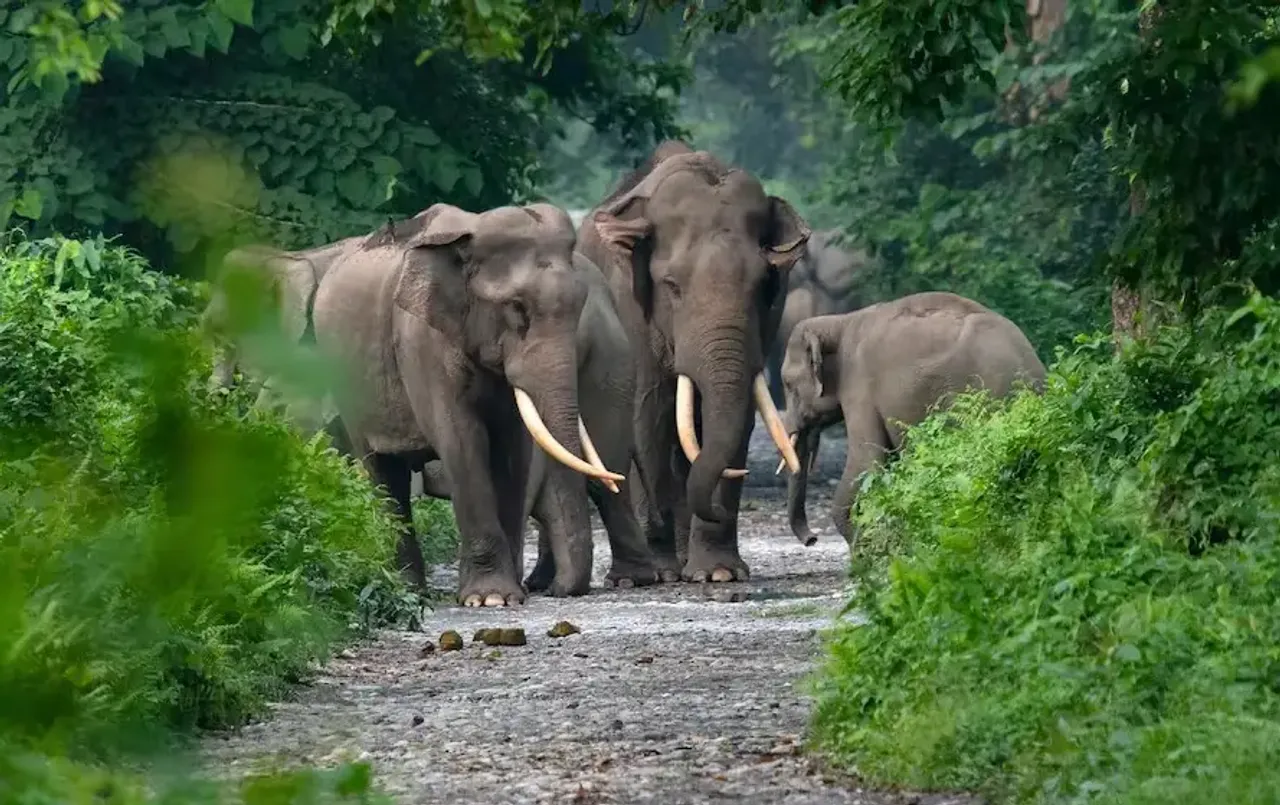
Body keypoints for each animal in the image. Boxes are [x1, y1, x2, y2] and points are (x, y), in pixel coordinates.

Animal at [311, 202, 624, 606]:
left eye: (579, 303)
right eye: (516, 307)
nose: (557, 591)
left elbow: (513, 446)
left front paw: (508, 595)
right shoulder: (422, 342)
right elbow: (461, 438)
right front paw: (489, 599)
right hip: (347, 387)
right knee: (383, 471)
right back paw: (411, 593)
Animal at [578, 140, 808, 583]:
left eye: (762, 286)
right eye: (672, 286)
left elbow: (739, 417)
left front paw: (719, 573)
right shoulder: (628, 305)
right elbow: (646, 414)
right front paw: (664, 571)